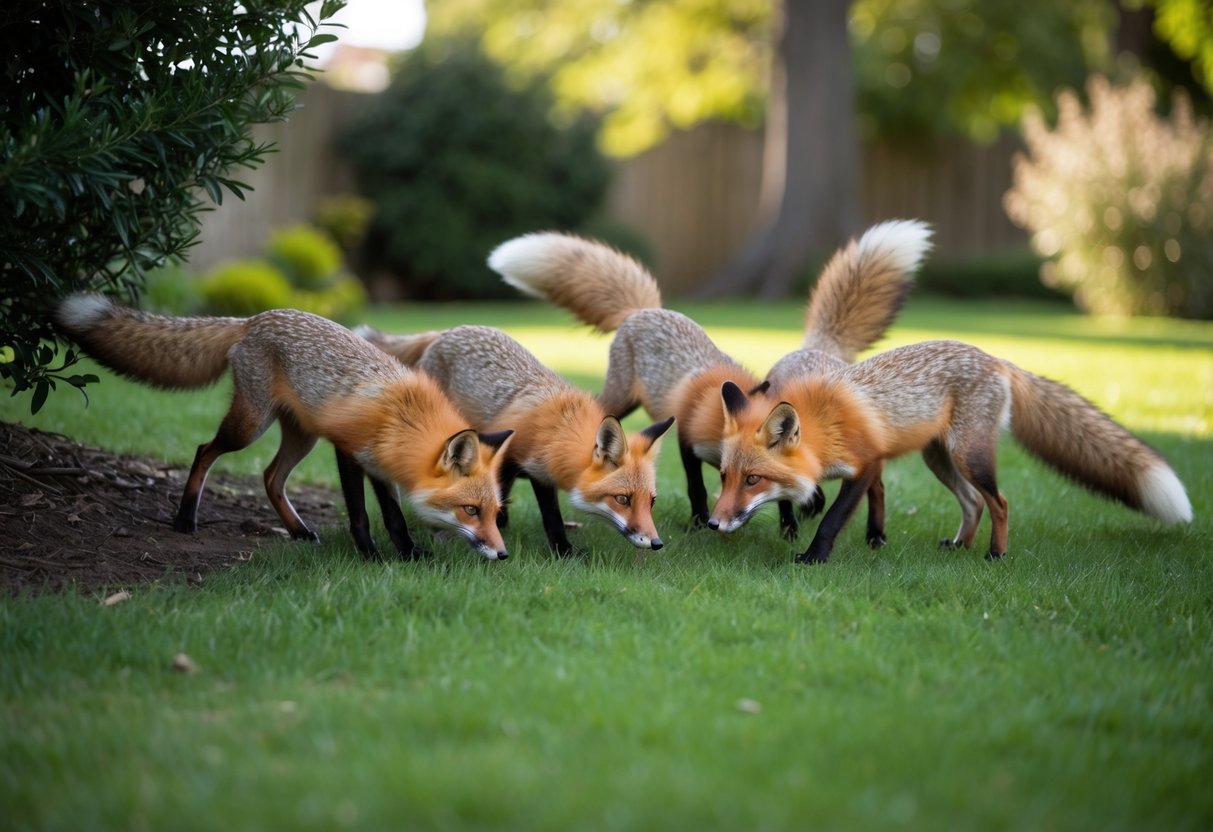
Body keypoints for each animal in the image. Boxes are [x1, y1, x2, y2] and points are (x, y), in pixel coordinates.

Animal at [52, 294, 514, 561]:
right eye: (470, 511)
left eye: (495, 513)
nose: (504, 554)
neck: (404, 417)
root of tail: (254, 318)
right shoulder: (348, 452)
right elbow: (362, 515)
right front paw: (371, 556)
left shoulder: (380, 466)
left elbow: (394, 516)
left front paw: (410, 555)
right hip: (249, 426)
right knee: (204, 451)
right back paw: (185, 519)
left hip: (301, 437)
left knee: (270, 477)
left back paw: (299, 531)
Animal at [358, 324, 674, 554]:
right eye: (623, 499)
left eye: (652, 502)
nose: (657, 543)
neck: (561, 427)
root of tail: (446, 331)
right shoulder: (534, 470)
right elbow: (552, 518)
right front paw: (564, 551)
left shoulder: (506, 465)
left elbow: (499, 496)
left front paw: (498, 526)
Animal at [486, 226, 919, 540]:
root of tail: (645, 309)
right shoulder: (686, 441)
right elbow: (696, 488)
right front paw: (699, 523)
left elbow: (783, 494)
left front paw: (793, 523)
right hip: (620, 400)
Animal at [711, 340, 1193, 563]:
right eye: (724, 477)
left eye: (753, 479)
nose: (713, 523)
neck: (825, 426)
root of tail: (996, 358)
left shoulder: (866, 465)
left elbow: (832, 520)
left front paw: (814, 557)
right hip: (939, 458)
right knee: (973, 502)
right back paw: (961, 545)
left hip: (968, 455)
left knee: (999, 501)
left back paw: (995, 555)